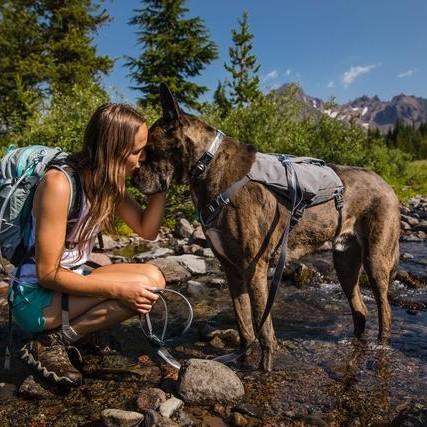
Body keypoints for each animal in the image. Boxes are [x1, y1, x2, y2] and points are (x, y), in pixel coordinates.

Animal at [135, 83, 402, 372]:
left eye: (148, 149)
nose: (132, 177)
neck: (208, 165)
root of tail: (386, 183)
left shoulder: (255, 267)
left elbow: (263, 329)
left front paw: (265, 368)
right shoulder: (231, 268)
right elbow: (243, 322)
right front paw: (243, 359)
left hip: (376, 259)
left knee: (385, 311)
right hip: (345, 262)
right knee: (360, 309)